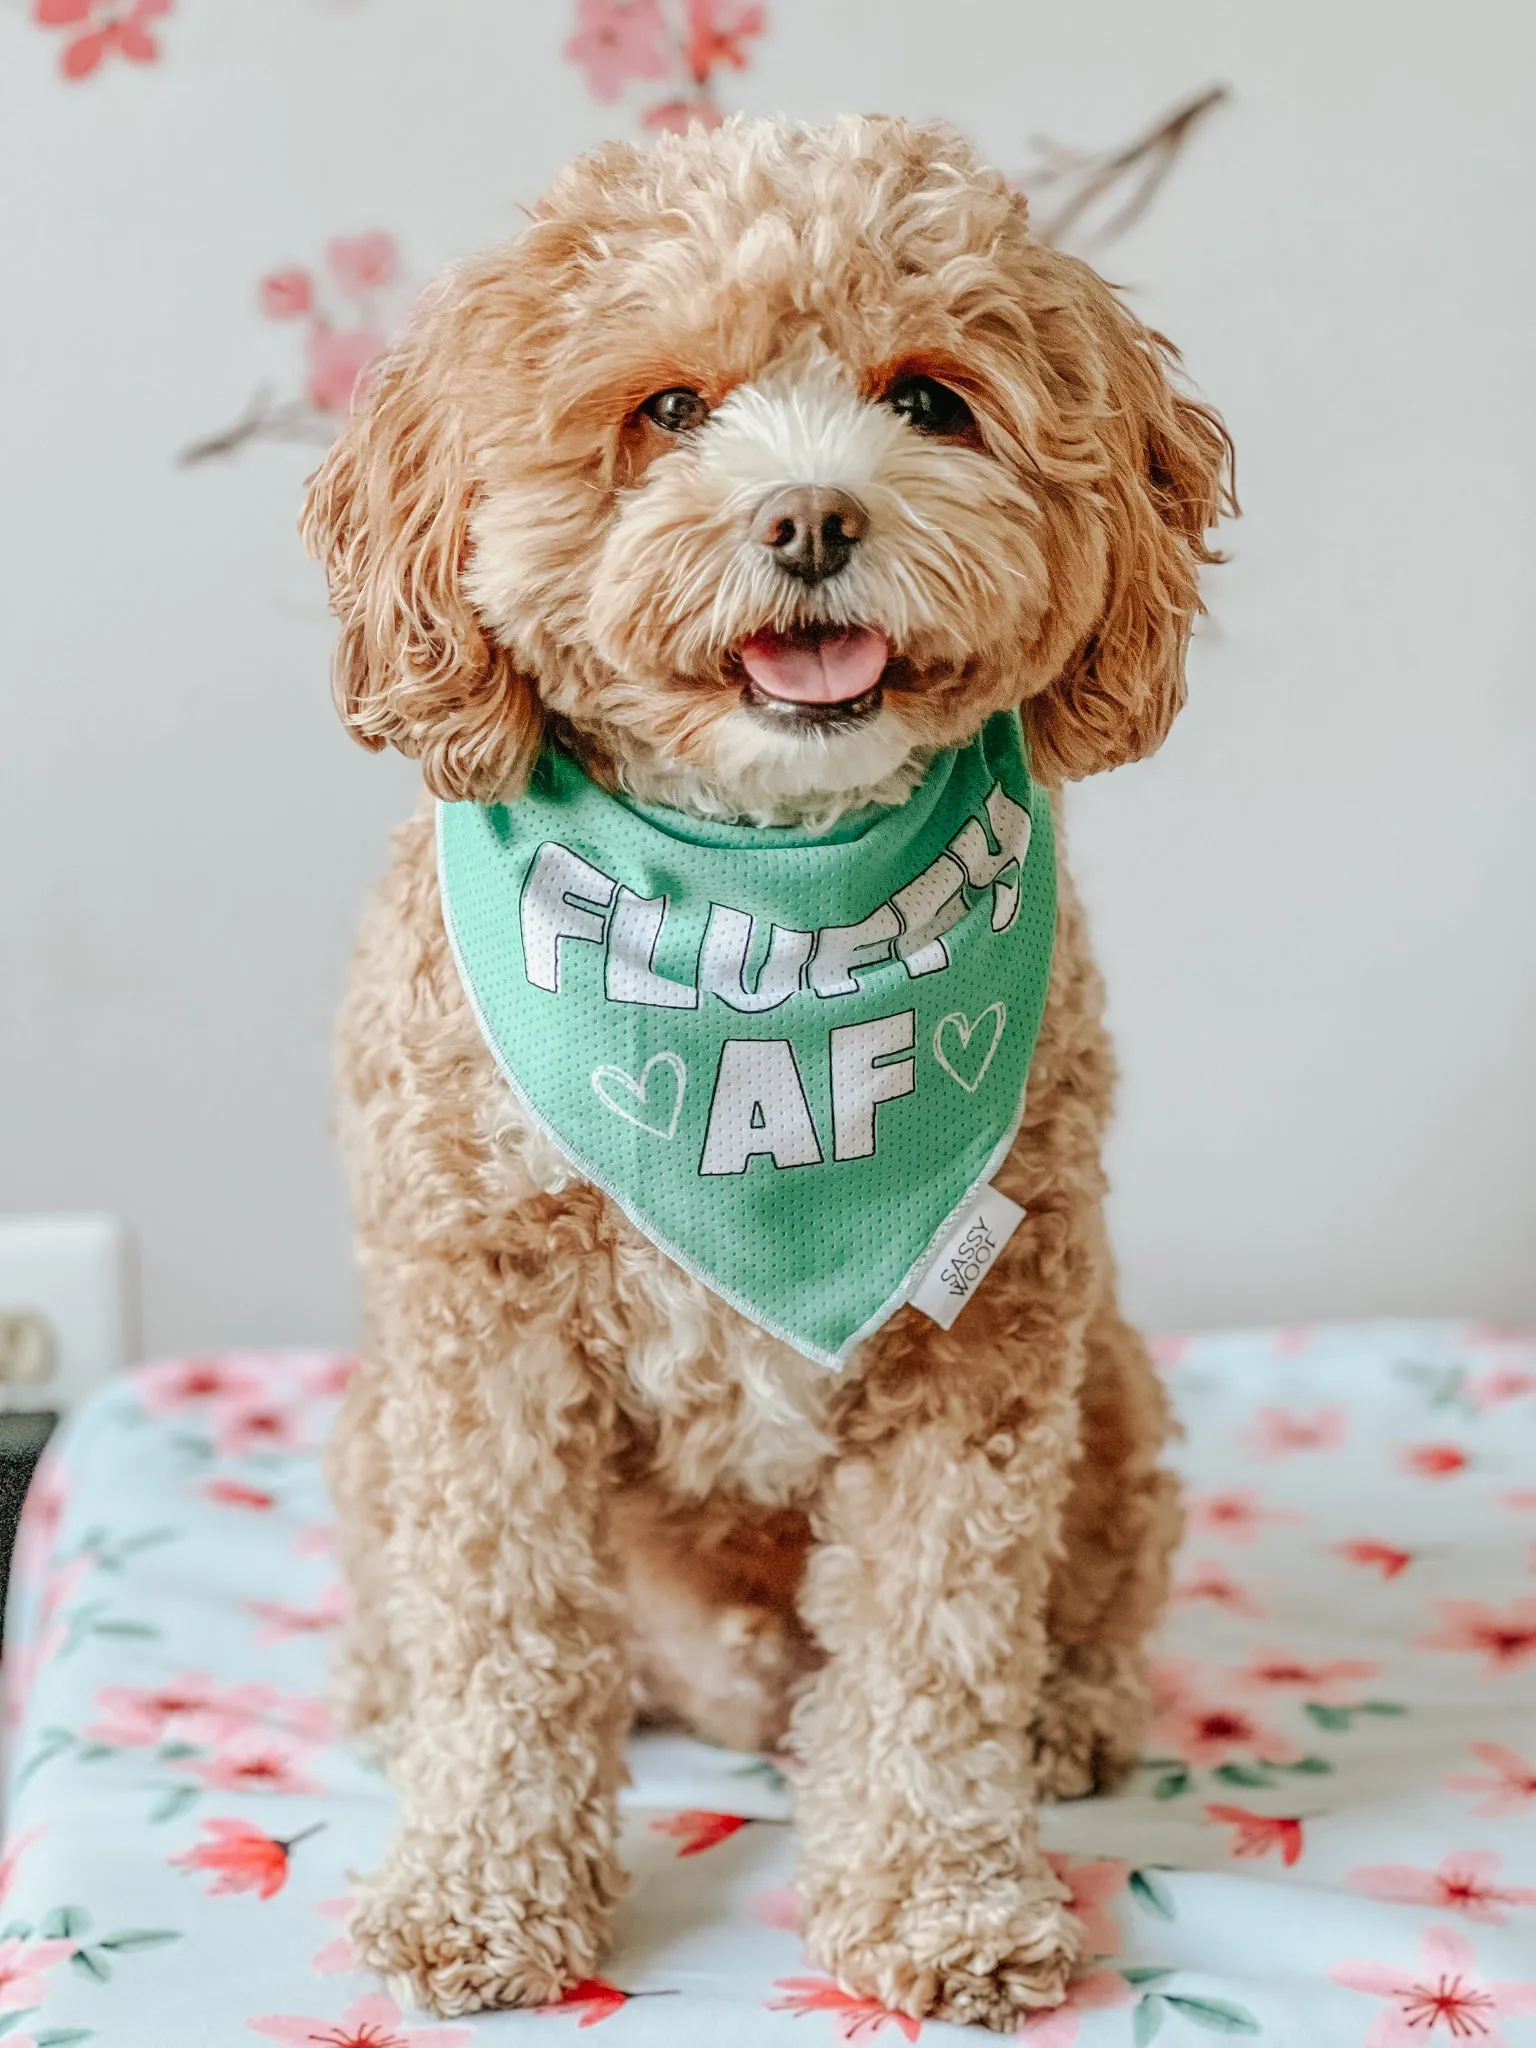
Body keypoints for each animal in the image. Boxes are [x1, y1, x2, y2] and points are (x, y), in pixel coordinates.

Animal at [303, 112, 1236, 2031]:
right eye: (670, 409)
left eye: (932, 399)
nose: (811, 517)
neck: (759, 931)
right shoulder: (484, 1334)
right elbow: (503, 1635)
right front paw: (479, 1894)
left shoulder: (985, 1347)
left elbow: (938, 1647)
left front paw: (944, 1899)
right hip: (377, 1415)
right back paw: (391, 1699)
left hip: (1106, 1385)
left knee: (1087, 1595)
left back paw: (1074, 1717)